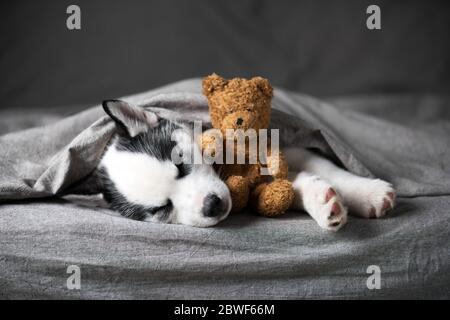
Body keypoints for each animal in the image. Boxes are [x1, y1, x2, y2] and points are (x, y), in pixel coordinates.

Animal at [97, 100, 394, 230]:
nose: (212, 205)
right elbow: (290, 187)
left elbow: (327, 167)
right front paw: (322, 202)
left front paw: (367, 192)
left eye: (180, 163)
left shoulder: (282, 146)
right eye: (162, 209)